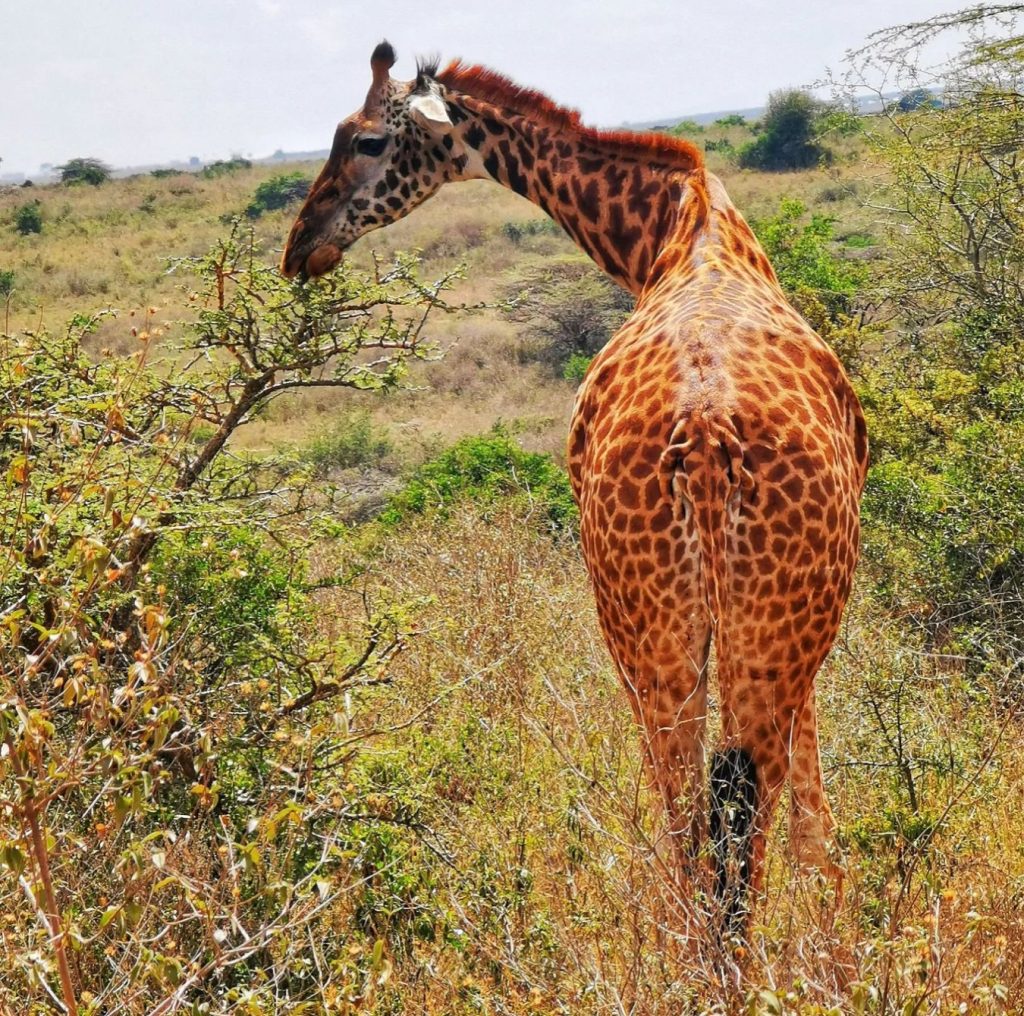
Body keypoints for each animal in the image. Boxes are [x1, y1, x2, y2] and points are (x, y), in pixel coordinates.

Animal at [282, 42, 869, 935]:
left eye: (368, 141)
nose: (300, 245)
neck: (672, 226)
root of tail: (706, 440)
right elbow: (815, 827)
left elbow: (814, 830)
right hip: (721, 637)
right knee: (720, 834)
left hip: (679, 638)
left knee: (704, 830)